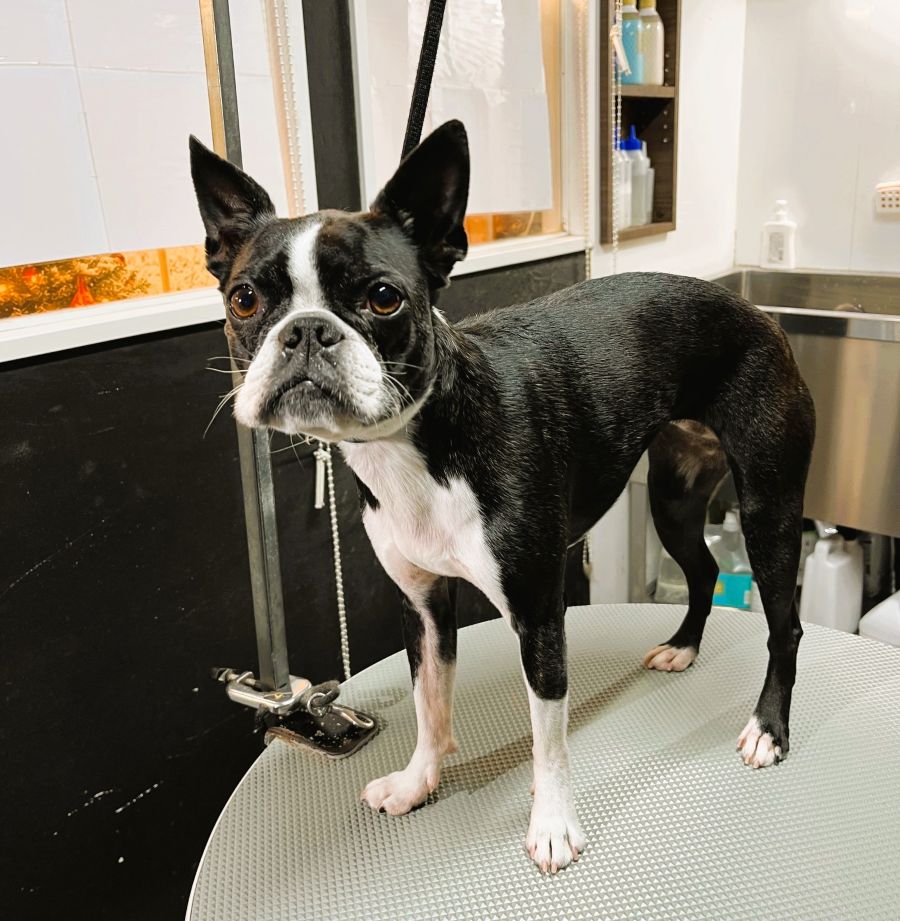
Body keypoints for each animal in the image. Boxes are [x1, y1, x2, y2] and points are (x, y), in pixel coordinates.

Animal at [190, 120, 815, 873]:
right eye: (244, 300)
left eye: (383, 297)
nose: (307, 329)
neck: (418, 444)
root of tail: (757, 310)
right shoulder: (422, 605)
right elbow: (430, 705)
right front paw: (418, 783)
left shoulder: (539, 611)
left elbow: (549, 732)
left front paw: (552, 826)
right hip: (673, 499)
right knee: (704, 570)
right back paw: (683, 647)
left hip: (768, 505)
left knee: (785, 624)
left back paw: (768, 728)